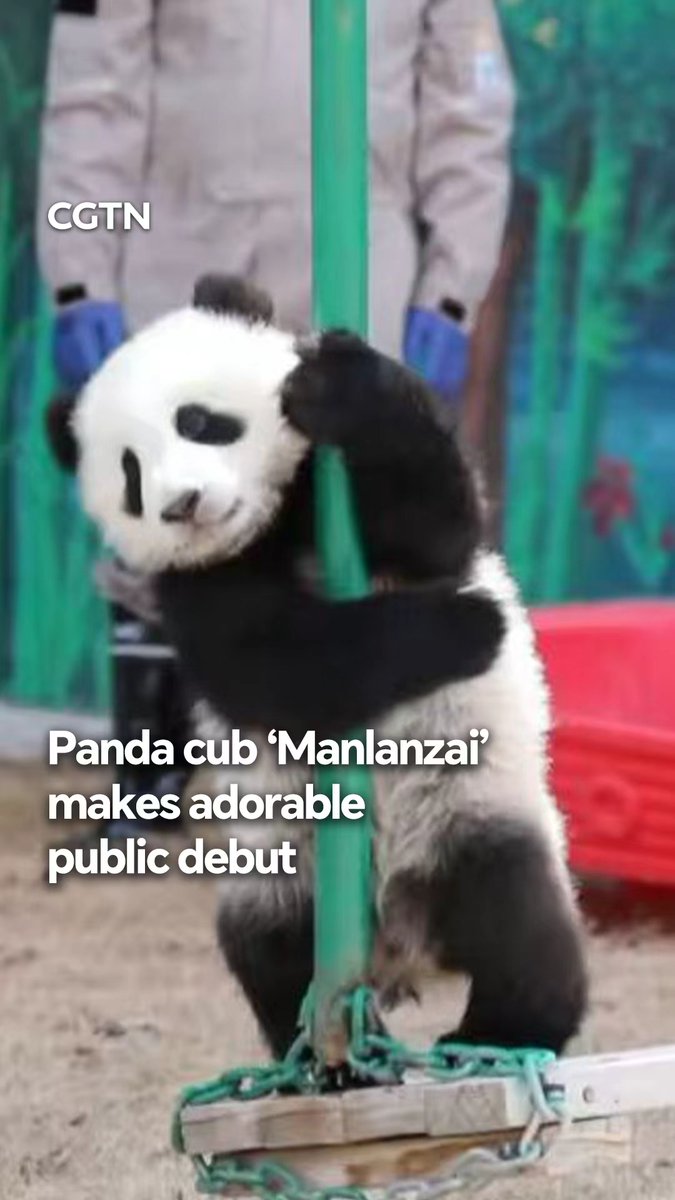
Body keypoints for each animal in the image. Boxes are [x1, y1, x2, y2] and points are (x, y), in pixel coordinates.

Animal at [49, 273, 587, 1063]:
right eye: (131, 475)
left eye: (199, 421)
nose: (183, 504)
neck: (271, 522)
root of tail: (397, 950)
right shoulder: (200, 585)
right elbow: (279, 668)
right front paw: (466, 626)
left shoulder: (345, 494)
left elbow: (437, 524)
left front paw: (337, 382)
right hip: (279, 877)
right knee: (267, 954)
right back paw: (325, 1050)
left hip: (471, 818)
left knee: (518, 929)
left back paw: (500, 1033)